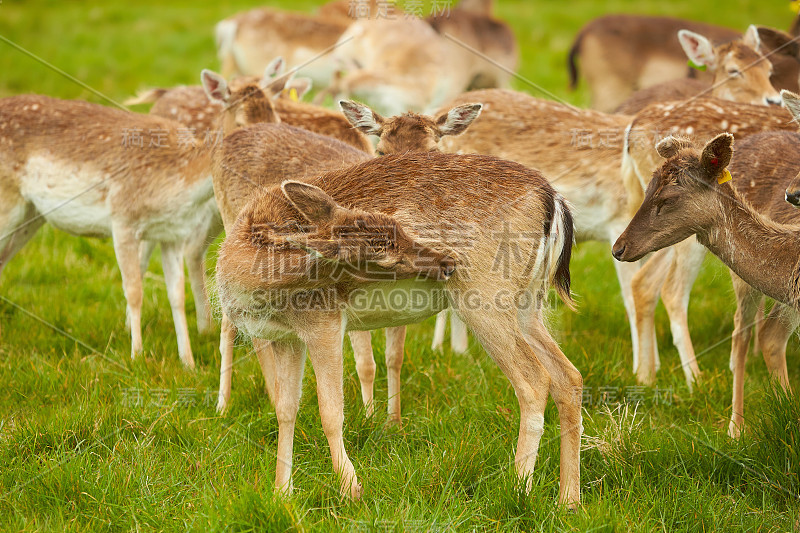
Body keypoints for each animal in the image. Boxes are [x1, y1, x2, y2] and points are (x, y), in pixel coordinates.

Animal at [0, 68, 276, 368]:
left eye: (275, 116)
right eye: (241, 123)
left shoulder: (173, 235)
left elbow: (177, 295)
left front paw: (188, 362)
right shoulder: (123, 220)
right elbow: (134, 290)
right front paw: (136, 355)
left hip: (30, 214)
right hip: (8, 204)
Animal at [216, 151, 584, 508]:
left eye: (400, 228)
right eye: (380, 256)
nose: (446, 262)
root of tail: (552, 198)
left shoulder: (325, 321)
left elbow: (330, 412)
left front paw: (352, 490)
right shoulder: (285, 338)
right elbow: (285, 409)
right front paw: (282, 494)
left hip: (485, 297)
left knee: (534, 380)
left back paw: (519, 488)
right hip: (527, 304)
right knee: (569, 376)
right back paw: (568, 500)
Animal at [620, 96, 792, 386]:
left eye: (667, 199)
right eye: (649, 192)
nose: (618, 247)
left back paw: (645, 374)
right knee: (669, 289)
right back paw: (694, 379)